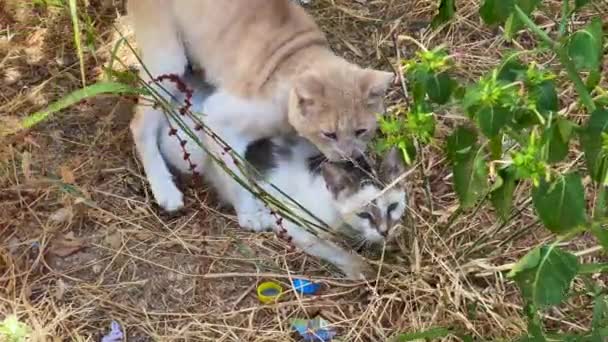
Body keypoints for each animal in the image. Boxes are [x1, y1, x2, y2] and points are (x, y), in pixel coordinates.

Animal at [127, 0, 394, 230]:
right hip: (168, 58)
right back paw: (165, 190)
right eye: (329, 134)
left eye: (361, 131)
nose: (350, 158)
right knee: (139, 124)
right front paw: (250, 215)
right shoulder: (217, 118)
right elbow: (236, 176)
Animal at [154, 74, 408, 278]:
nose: (384, 230)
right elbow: (335, 250)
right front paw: (360, 268)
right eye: (364, 214)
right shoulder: (297, 226)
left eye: (393, 207)